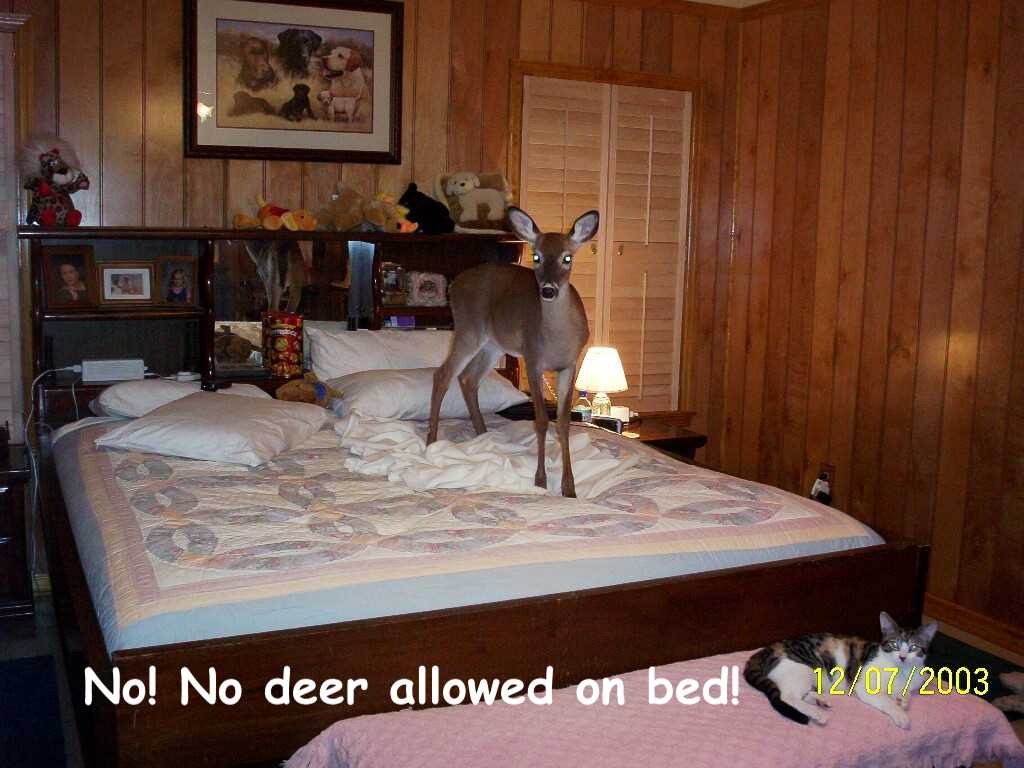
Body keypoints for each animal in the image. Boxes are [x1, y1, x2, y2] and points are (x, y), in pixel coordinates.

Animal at [427, 206, 599, 497]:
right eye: (536, 256)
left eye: (567, 257)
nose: (548, 290)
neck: (557, 339)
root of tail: (454, 284)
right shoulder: (532, 358)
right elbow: (541, 420)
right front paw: (540, 480)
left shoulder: (570, 364)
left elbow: (563, 422)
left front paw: (569, 487)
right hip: (468, 328)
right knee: (443, 375)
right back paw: (431, 440)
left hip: (493, 343)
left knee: (468, 378)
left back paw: (483, 434)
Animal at [744, 612, 938, 729]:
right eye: (894, 644)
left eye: (914, 647)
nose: (903, 657)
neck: (900, 671)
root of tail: (767, 649)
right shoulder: (864, 686)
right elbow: (886, 700)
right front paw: (900, 714)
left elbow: (905, 694)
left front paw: (902, 701)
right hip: (803, 667)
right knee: (788, 696)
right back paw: (817, 713)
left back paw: (820, 701)